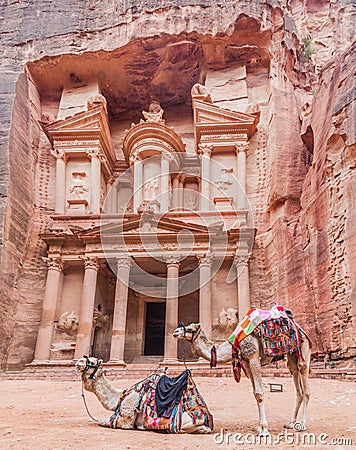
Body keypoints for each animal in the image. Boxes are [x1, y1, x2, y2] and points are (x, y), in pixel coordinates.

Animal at [75, 356, 211, 434]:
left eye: (92, 362)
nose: (78, 362)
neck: (119, 398)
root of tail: (206, 416)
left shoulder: (124, 421)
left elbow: (102, 421)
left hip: (184, 422)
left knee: (182, 429)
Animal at [172, 320, 312, 436]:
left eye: (190, 329)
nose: (175, 332)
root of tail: (302, 330)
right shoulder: (246, 362)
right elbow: (255, 394)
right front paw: (258, 428)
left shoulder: (253, 358)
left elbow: (260, 393)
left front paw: (264, 430)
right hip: (292, 355)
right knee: (297, 382)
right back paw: (290, 423)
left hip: (304, 349)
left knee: (305, 383)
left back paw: (302, 424)